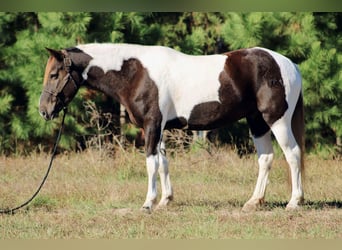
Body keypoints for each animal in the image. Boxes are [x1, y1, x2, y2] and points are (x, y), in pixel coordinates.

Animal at [39, 43, 304, 213]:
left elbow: (151, 164)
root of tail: (289, 64)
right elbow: (163, 163)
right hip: (257, 121)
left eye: (54, 74)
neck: (136, 73)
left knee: (292, 155)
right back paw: (253, 202)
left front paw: (148, 203)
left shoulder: (152, 125)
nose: (44, 110)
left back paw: (294, 202)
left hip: (277, 120)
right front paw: (165, 200)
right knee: (266, 158)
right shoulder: (158, 128)